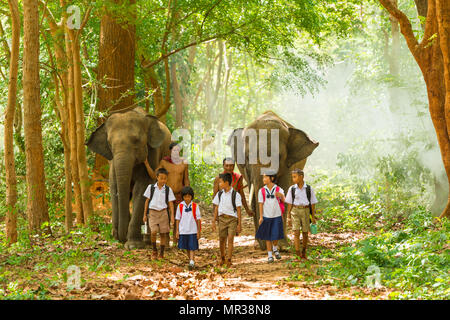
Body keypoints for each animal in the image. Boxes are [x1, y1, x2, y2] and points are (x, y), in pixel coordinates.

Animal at [87, 106, 171, 249]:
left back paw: (147, 241)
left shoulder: (153, 153)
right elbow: (114, 187)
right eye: (109, 143)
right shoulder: (112, 162)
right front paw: (118, 238)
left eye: (136, 140)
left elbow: (142, 188)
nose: (120, 237)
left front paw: (133, 245)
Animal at [229, 110, 320, 250]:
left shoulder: (288, 165)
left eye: (279, 156)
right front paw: (259, 244)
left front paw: (282, 246)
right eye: (247, 157)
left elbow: (284, 193)